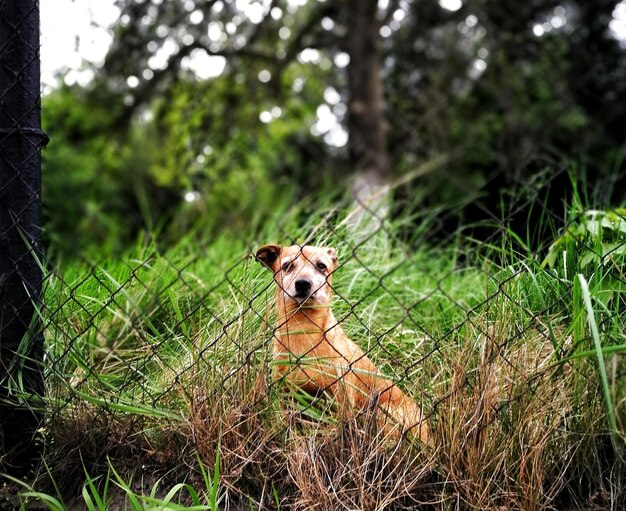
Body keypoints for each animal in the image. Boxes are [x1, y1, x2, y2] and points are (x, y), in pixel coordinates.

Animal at [256, 245, 426, 444]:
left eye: (321, 266)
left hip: (384, 412)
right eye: (287, 265)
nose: (303, 283)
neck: (303, 329)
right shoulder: (284, 395)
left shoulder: (342, 400)